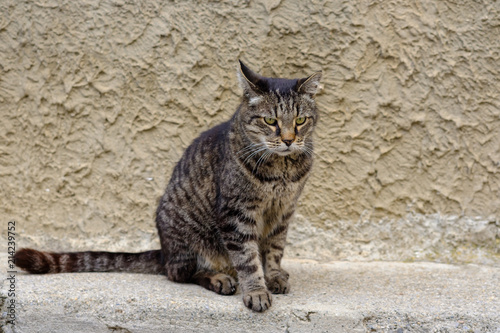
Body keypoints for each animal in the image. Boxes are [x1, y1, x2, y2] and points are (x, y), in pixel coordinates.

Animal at [15, 60, 322, 312]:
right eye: (270, 121)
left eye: (300, 120)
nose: (289, 140)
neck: (283, 170)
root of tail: (164, 251)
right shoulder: (237, 213)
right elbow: (247, 258)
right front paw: (257, 291)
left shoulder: (284, 211)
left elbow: (274, 249)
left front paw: (274, 276)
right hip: (190, 239)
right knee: (181, 273)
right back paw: (220, 279)